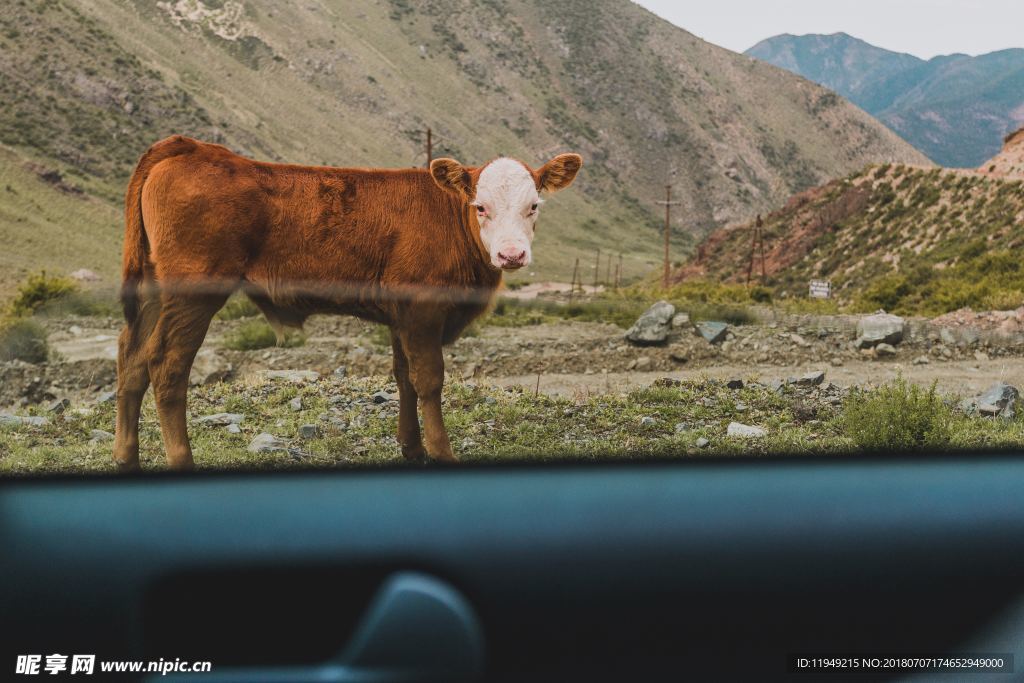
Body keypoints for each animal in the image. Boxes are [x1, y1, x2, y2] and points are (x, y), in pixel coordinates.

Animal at [113, 137, 581, 471]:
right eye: (479, 206)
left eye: (533, 206)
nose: (511, 254)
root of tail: (191, 146)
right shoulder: (423, 310)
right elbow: (429, 380)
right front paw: (441, 451)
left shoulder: (401, 316)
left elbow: (403, 377)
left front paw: (411, 447)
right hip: (193, 292)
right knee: (166, 365)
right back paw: (181, 460)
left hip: (154, 288)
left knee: (131, 357)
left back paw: (126, 457)